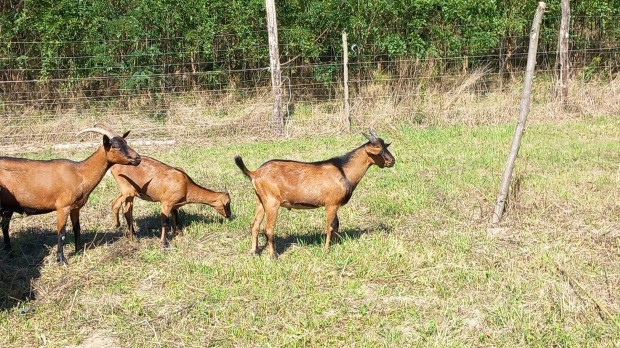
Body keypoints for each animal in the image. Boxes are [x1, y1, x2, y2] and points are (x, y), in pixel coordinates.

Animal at [0, 126, 141, 266]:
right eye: (116, 146)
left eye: (126, 142)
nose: (138, 158)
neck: (80, 173)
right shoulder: (63, 206)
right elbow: (61, 233)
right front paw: (61, 260)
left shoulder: (75, 207)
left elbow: (77, 228)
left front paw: (79, 250)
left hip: (7, 207)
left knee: (4, 226)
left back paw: (9, 251)